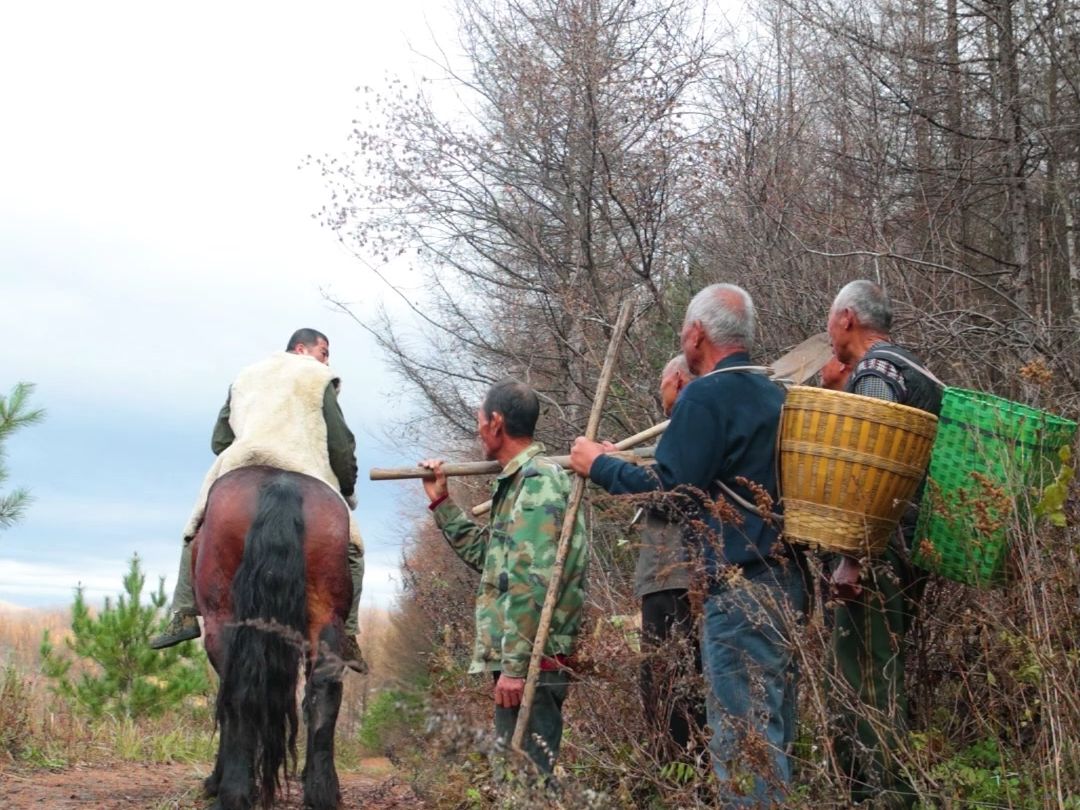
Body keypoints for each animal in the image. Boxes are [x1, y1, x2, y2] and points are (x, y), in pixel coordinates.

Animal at [190, 466, 349, 807]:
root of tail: (282, 483)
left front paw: (217, 781)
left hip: (223, 620)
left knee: (236, 695)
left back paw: (233, 792)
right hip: (327, 616)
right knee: (324, 692)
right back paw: (322, 792)